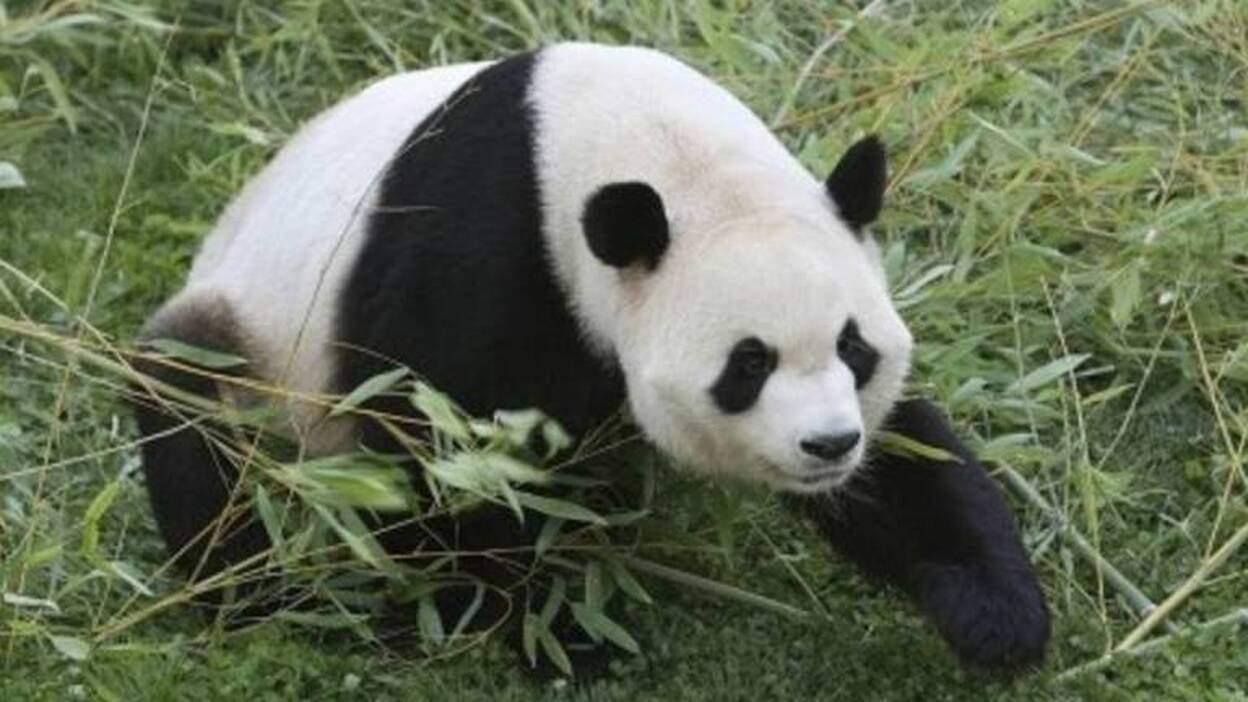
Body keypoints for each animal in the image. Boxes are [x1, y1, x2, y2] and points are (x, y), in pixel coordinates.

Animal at [131, 43, 1049, 672]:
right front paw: (545, 627)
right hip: (252, 342)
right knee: (197, 434)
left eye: (853, 348)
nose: (827, 445)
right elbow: (436, 447)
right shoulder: (481, 252)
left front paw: (994, 615)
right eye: (747, 365)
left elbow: (910, 461)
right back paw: (267, 592)